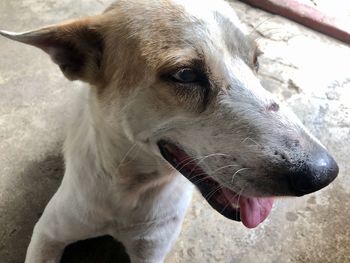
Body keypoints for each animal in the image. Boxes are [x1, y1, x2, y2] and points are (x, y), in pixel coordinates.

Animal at [0, 0, 340, 262]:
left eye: (256, 61)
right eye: (185, 75)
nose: (324, 174)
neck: (127, 188)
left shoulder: (151, 250)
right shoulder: (47, 234)